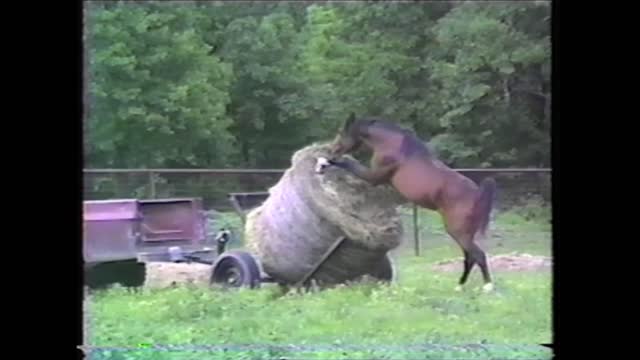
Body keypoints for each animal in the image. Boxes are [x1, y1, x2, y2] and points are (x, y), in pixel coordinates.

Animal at [328, 113, 498, 292]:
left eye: (340, 132)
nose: (332, 149)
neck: (394, 145)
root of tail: (477, 193)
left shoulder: (374, 177)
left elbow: (350, 165)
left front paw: (327, 163)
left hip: (458, 232)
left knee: (478, 255)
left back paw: (488, 286)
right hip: (465, 234)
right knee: (470, 258)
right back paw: (459, 286)